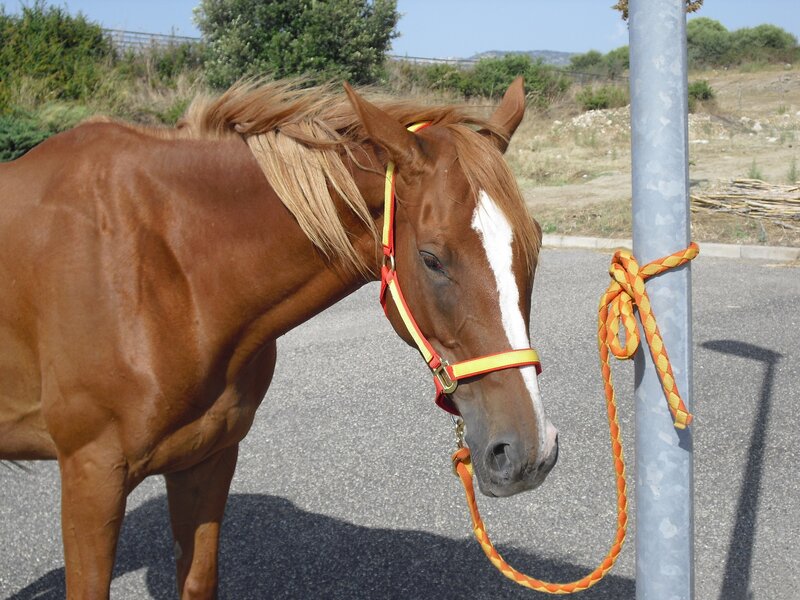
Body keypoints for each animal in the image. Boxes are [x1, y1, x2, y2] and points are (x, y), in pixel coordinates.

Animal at [0, 76, 559, 599]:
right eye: (432, 258)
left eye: (536, 242)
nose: (528, 452)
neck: (165, 269)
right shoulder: (92, 476)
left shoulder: (206, 461)